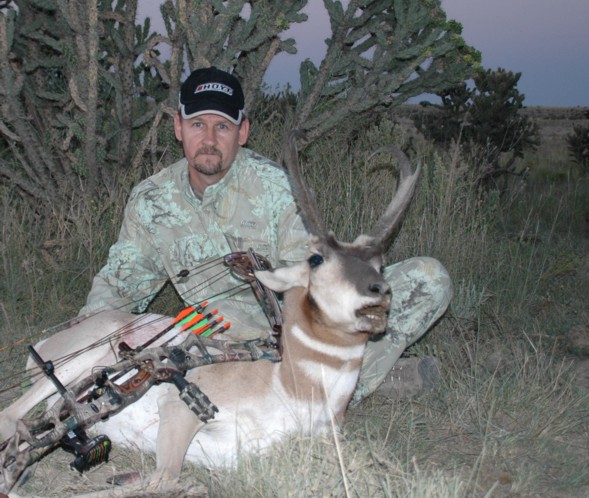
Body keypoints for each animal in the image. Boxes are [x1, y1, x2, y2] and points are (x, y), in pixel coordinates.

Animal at [1, 133, 422, 494]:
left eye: (380, 264)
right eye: (316, 259)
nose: (378, 295)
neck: (287, 382)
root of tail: (46, 341)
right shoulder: (179, 408)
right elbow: (165, 478)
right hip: (79, 359)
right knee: (14, 413)